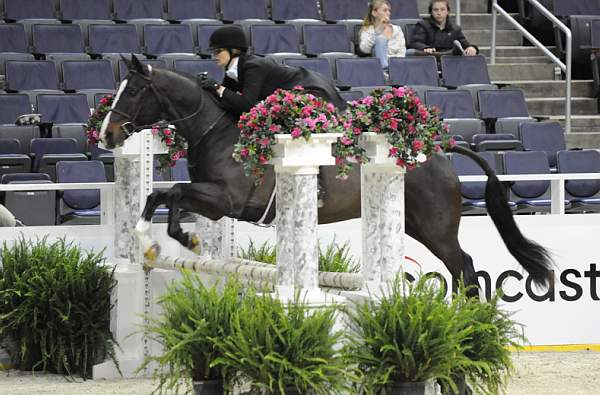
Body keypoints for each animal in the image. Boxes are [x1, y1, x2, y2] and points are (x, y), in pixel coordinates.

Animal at [99, 56, 552, 296]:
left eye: (134, 92)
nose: (108, 134)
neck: (215, 131)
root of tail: (438, 150)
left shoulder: (227, 200)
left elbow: (174, 192)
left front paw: (180, 240)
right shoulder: (214, 202)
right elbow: (158, 197)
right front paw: (151, 242)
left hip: (436, 227)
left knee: (465, 267)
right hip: (417, 225)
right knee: (463, 266)